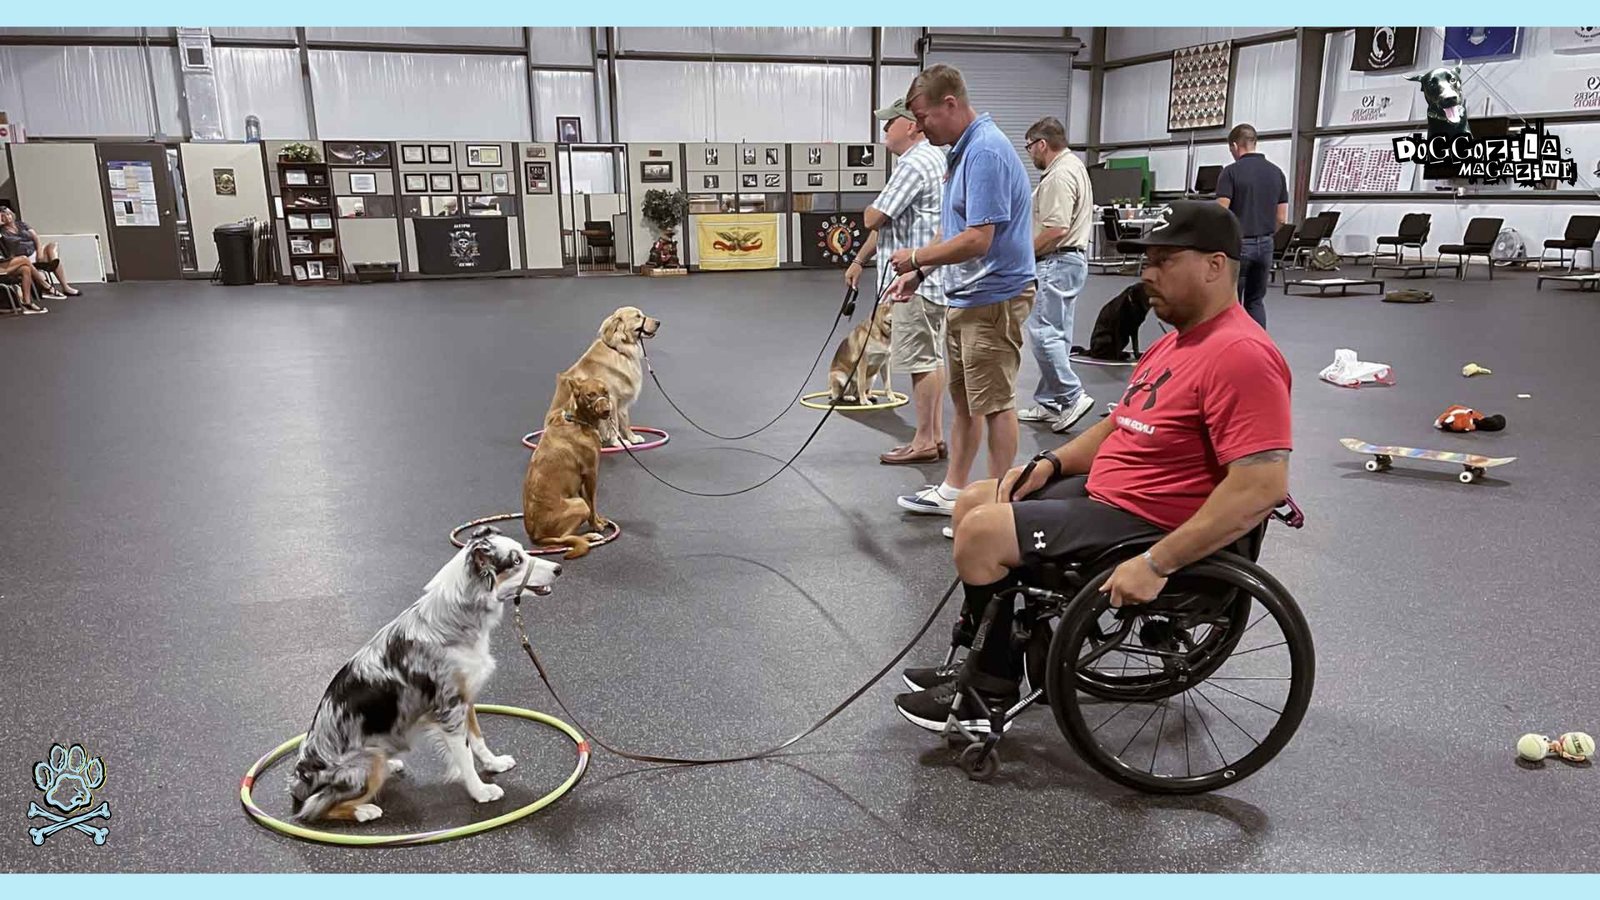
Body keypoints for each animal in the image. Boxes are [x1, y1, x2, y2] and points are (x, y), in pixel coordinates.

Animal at [524, 373, 611, 557]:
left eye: (606, 392)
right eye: (590, 395)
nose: (607, 410)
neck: (577, 421)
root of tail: (535, 536)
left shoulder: (582, 480)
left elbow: (592, 503)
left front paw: (598, 521)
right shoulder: (591, 473)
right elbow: (593, 502)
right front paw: (596, 526)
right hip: (578, 504)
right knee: (564, 538)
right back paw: (590, 537)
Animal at [544, 304, 656, 445]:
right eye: (638, 316)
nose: (658, 322)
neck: (618, 349)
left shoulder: (621, 400)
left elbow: (625, 420)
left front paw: (632, 438)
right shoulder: (611, 398)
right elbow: (614, 422)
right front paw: (618, 442)